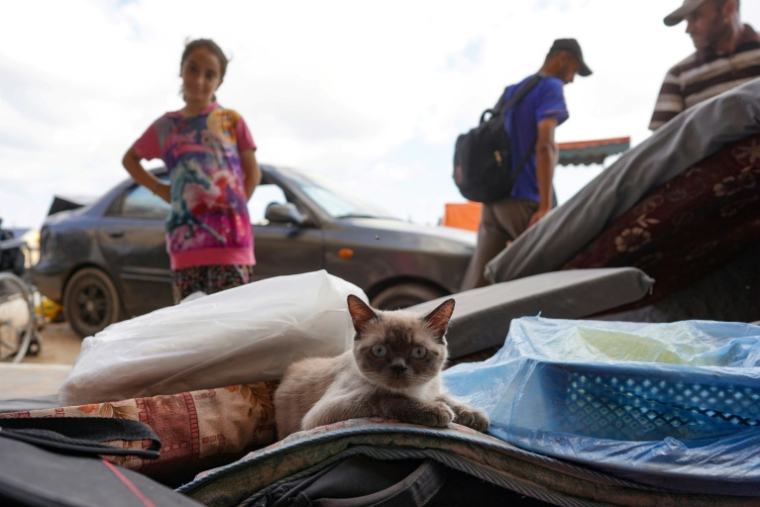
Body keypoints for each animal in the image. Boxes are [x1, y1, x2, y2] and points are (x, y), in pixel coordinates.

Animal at [276, 294, 490, 440]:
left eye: (418, 352)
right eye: (379, 350)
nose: (398, 368)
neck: (415, 391)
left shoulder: (430, 389)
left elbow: (449, 400)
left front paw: (475, 416)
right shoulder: (321, 415)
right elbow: (386, 398)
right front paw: (438, 411)